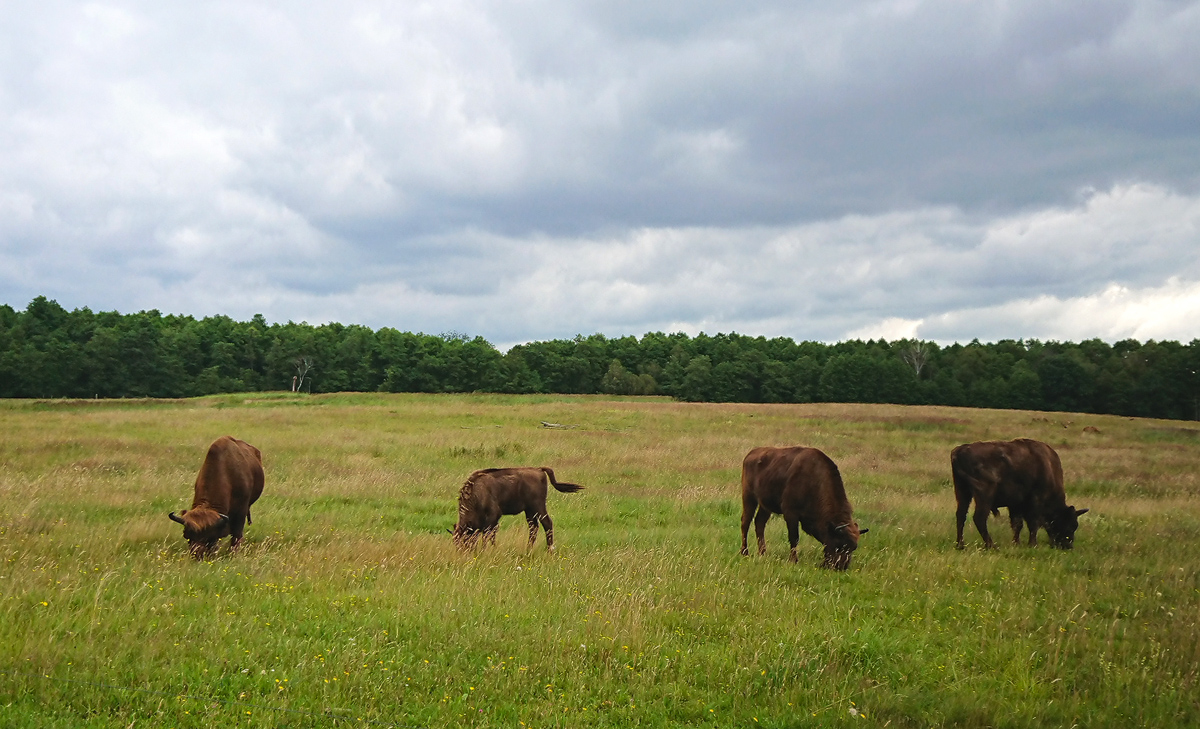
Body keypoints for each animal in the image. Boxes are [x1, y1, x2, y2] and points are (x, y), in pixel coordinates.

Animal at [451, 470, 583, 549]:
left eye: (463, 540)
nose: (462, 552)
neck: (477, 492)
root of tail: (539, 469)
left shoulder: (494, 515)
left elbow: (487, 534)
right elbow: (491, 534)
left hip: (538, 507)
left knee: (547, 524)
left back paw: (549, 549)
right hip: (529, 511)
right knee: (534, 528)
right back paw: (528, 549)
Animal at [734, 446, 868, 573]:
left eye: (853, 548)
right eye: (838, 544)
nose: (841, 567)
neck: (815, 480)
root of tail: (751, 454)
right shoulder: (790, 513)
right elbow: (794, 537)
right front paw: (793, 560)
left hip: (765, 505)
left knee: (759, 523)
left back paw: (763, 553)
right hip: (749, 497)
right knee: (745, 522)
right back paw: (745, 552)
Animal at [955, 436, 1089, 549]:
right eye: (1069, 525)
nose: (1068, 546)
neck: (1049, 469)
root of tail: (959, 451)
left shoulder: (1015, 505)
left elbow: (1017, 524)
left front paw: (1016, 543)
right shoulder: (1035, 500)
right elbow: (1033, 524)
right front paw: (1033, 544)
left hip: (963, 492)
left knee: (961, 515)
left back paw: (960, 545)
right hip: (984, 495)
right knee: (979, 518)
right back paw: (992, 546)